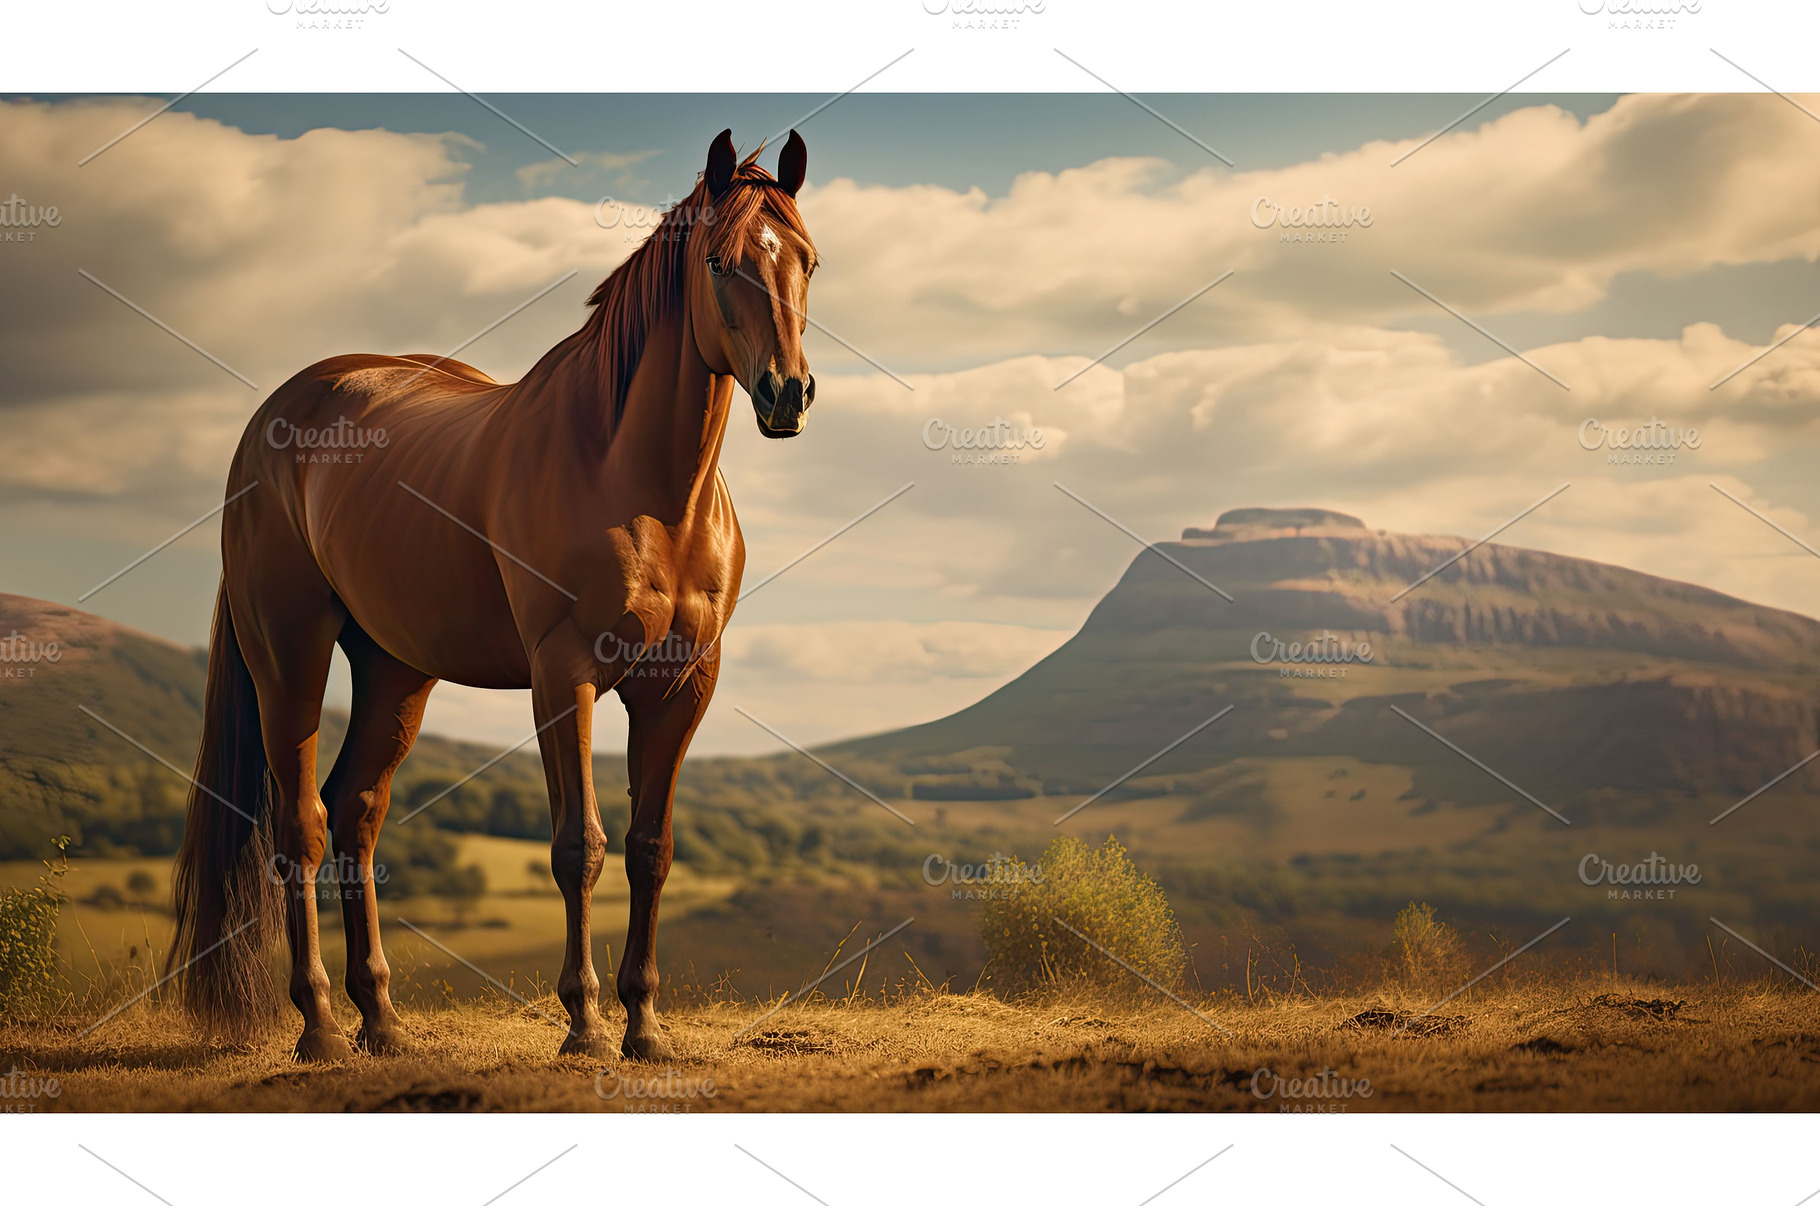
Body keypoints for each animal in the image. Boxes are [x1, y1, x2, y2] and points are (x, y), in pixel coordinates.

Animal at [168, 129, 818, 1062]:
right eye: (720, 262)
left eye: (809, 260)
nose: (787, 393)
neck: (641, 485)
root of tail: (276, 418)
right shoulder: (563, 675)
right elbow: (578, 845)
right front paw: (585, 1025)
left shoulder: (683, 685)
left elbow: (650, 849)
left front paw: (646, 1027)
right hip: (287, 654)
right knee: (302, 824)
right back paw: (321, 1026)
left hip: (396, 668)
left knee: (357, 811)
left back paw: (381, 1020)